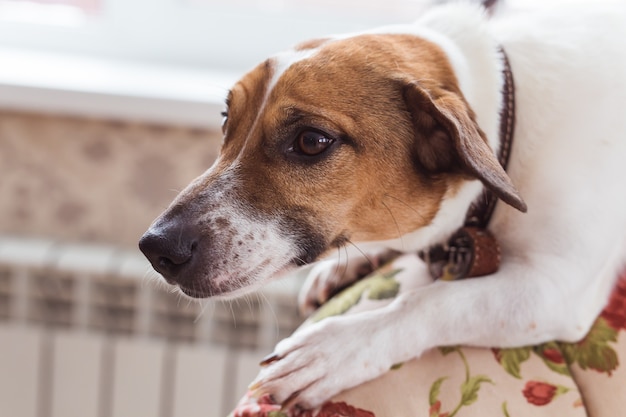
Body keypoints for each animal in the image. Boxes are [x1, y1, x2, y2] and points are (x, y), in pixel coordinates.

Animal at [139, 0, 624, 410]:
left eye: (311, 141)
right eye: (227, 121)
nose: (156, 248)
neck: (509, 112)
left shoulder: (554, 290)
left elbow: (432, 302)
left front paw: (335, 349)